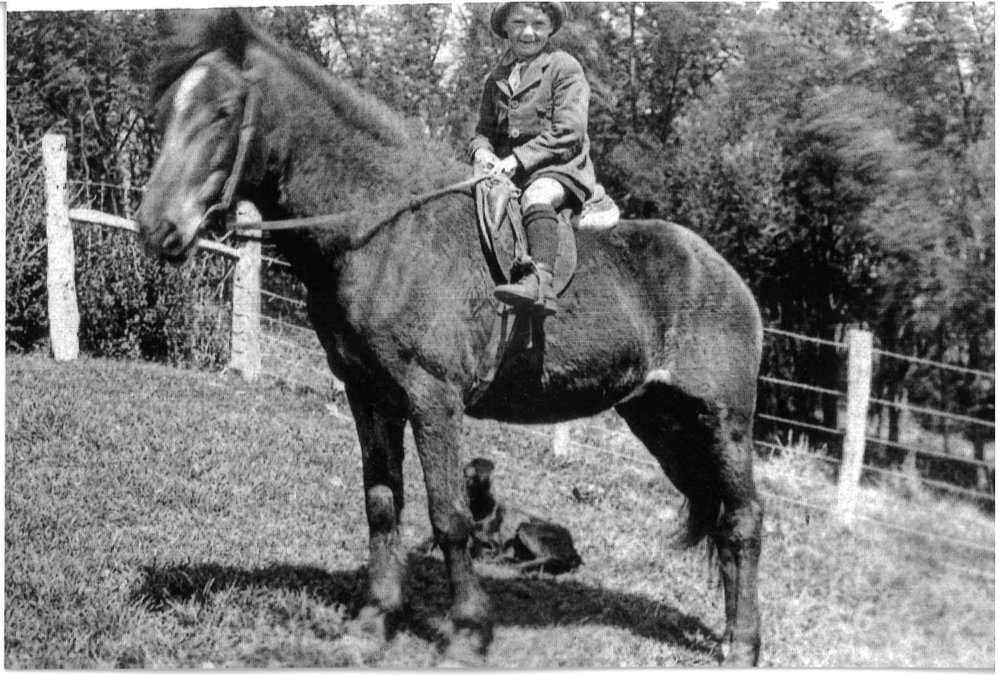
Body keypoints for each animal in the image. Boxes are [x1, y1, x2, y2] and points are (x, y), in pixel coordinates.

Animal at [136, 9, 764, 666]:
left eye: (223, 110)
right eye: (167, 109)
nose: (157, 227)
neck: (383, 232)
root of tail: (725, 275)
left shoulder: (433, 399)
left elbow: (449, 517)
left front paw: (465, 633)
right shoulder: (370, 397)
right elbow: (382, 505)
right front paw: (373, 621)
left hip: (723, 422)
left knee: (744, 519)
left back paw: (743, 643)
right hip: (663, 422)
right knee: (722, 518)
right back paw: (729, 634)